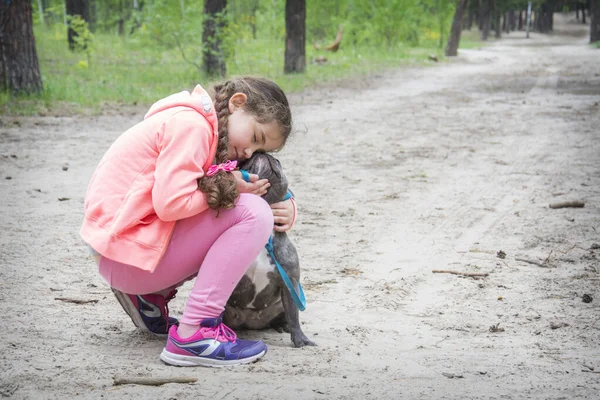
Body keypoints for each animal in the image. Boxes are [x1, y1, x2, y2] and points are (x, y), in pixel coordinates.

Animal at [221, 153, 316, 346]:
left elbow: (294, 314)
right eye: (245, 163)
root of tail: (249, 322)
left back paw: (282, 326)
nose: (264, 154)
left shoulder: (290, 283)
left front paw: (300, 339)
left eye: (278, 162)